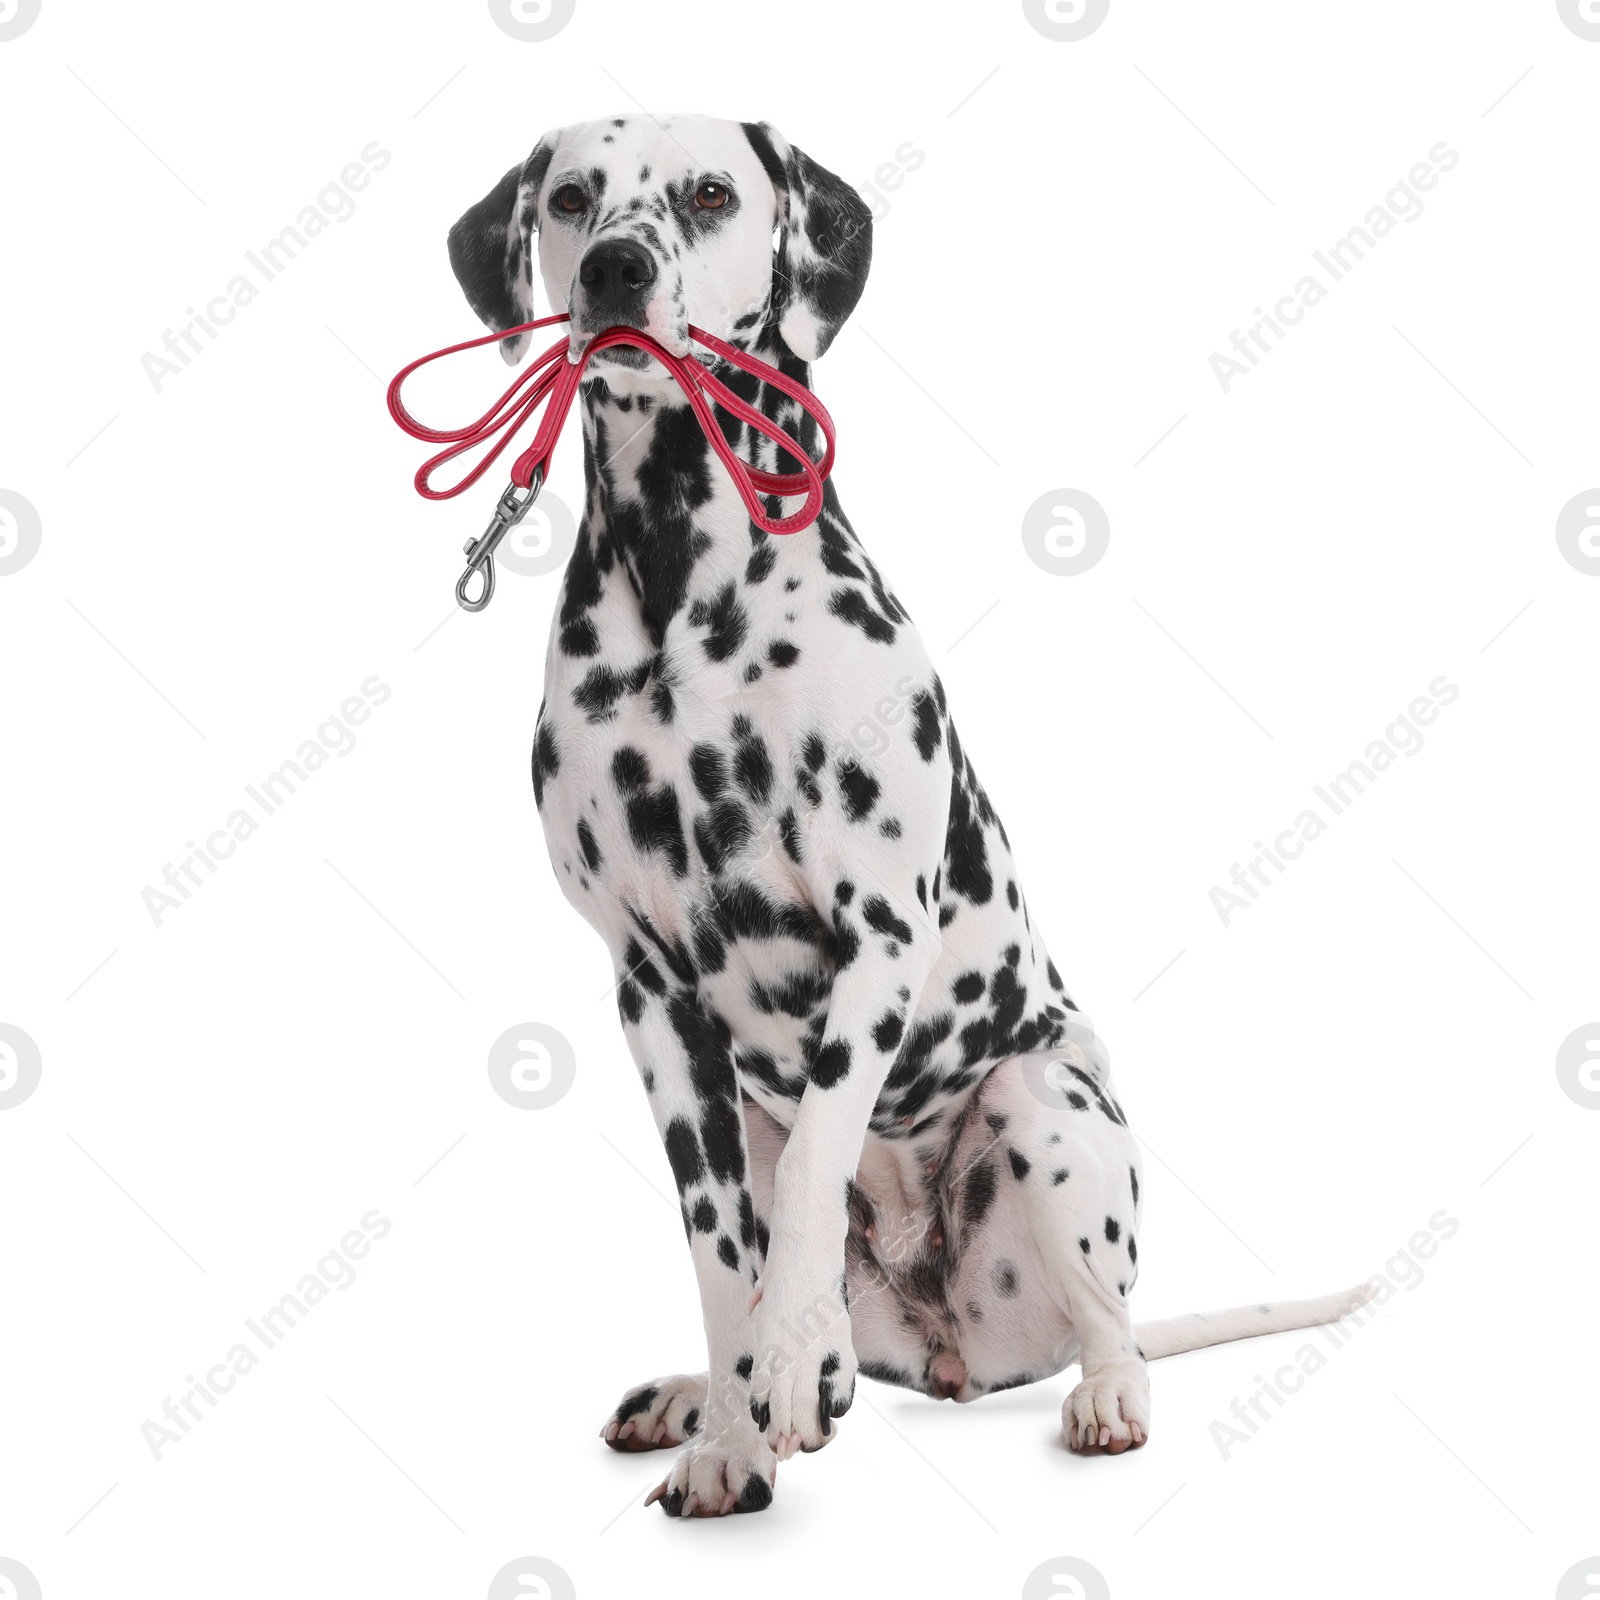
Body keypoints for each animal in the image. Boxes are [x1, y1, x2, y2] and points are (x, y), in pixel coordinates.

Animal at [448, 116, 1363, 1523]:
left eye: (710, 193)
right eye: (570, 198)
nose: (613, 270)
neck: (678, 576)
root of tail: (954, 1352)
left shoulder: (876, 932)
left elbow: (818, 1162)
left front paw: (782, 1367)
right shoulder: (651, 997)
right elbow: (723, 1250)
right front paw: (731, 1431)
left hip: (1046, 1105)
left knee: (1106, 1318)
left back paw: (1094, 1393)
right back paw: (706, 1390)